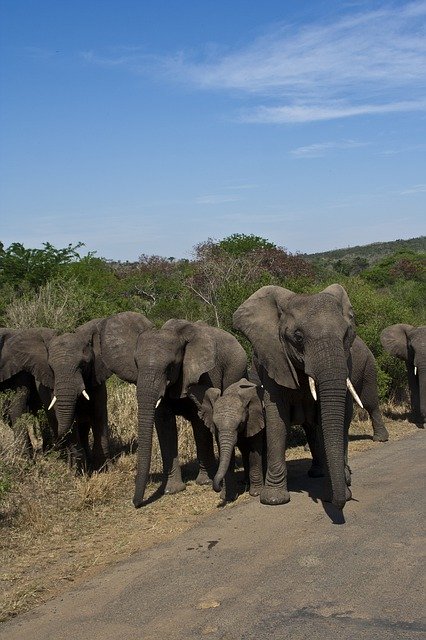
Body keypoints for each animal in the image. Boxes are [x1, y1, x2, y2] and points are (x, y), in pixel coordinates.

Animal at [233, 284, 360, 510]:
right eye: (298, 337)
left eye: (346, 334)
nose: (339, 502)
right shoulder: (274, 360)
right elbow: (277, 420)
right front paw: (273, 499)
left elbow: (327, 420)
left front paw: (337, 491)